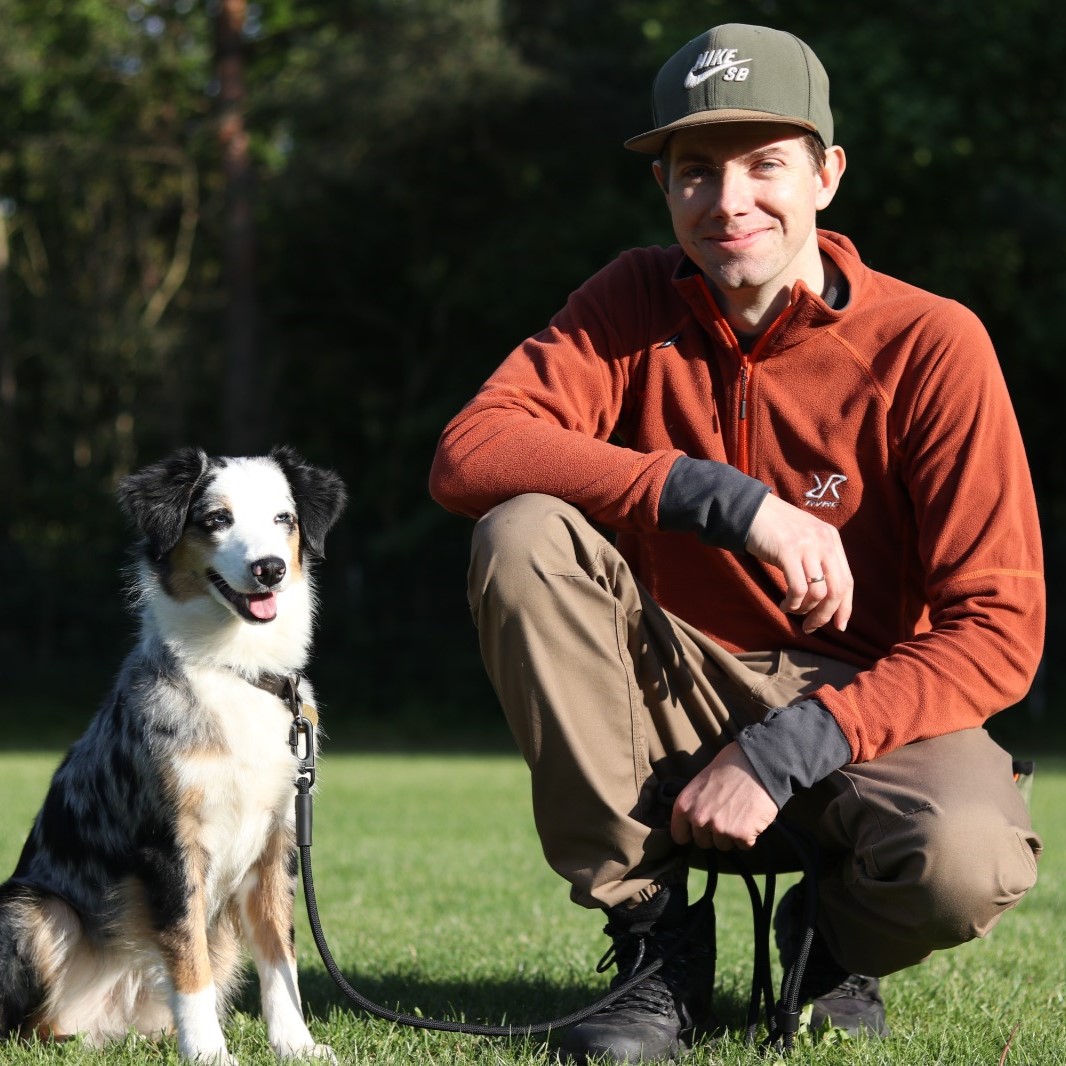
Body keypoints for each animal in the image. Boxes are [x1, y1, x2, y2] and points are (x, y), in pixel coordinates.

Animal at [0, 445, 345, 1061]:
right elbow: (188, 961)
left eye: (283, 518)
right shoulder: (170, 844)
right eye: (216, 519)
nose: (270, 569)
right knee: (27, 1025)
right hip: (33, 911)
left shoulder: (277, 842)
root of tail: (105, 1020)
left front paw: (296, 1046)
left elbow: (281, 957)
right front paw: (208, 1052)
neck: (235, 669)